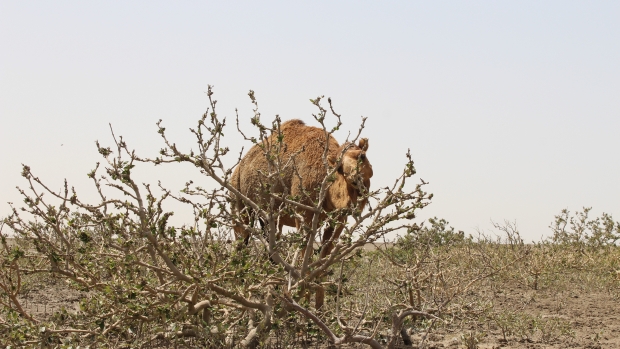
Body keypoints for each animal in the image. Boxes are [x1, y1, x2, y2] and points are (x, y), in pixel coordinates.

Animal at [229, 118, 370, 256]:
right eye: (339, 168)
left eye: (362, 156)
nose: (355, 178)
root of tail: (239, 167)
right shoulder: (303, 212)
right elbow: (305, 252)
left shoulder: (340, 216)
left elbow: (326, 249)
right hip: (237, 195)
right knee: (241, 237)